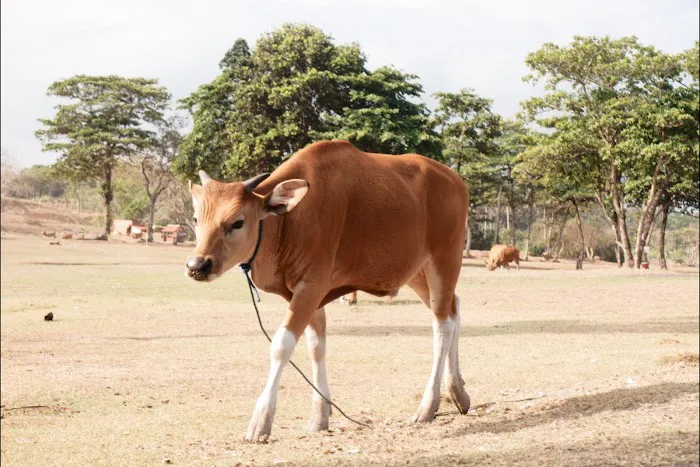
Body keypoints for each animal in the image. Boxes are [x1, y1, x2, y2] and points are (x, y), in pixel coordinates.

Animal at [185, 140, 470, 442]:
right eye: (196, 218)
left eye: (237, 222)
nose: (197, 265)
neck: (288, 222)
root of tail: (457, 182)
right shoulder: (307, 294)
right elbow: (316, 346)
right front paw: (320, 415)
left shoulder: (311, 287)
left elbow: (282, 345)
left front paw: (261, 420)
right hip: (416, 272)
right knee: (454, 308)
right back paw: (458, 391)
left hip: (444, 261)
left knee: (442, 326)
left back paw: (428, 405)